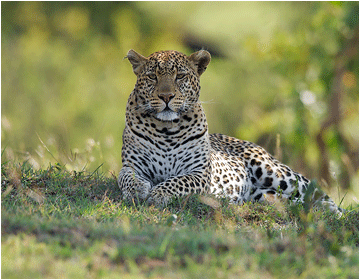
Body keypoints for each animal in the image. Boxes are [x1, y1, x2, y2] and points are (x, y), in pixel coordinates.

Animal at [117, 48, 344, 217]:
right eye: (152, 77)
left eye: (180, 76)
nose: (166, 96)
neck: (166, 129)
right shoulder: (131, 166)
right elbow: (127, 178)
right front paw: (137, 191)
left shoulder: (200, 173)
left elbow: (177, 181)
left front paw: (158, 194)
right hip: (263, 194)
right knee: (295, 200)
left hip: (276, 172)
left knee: (317, 192)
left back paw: (335, 213)